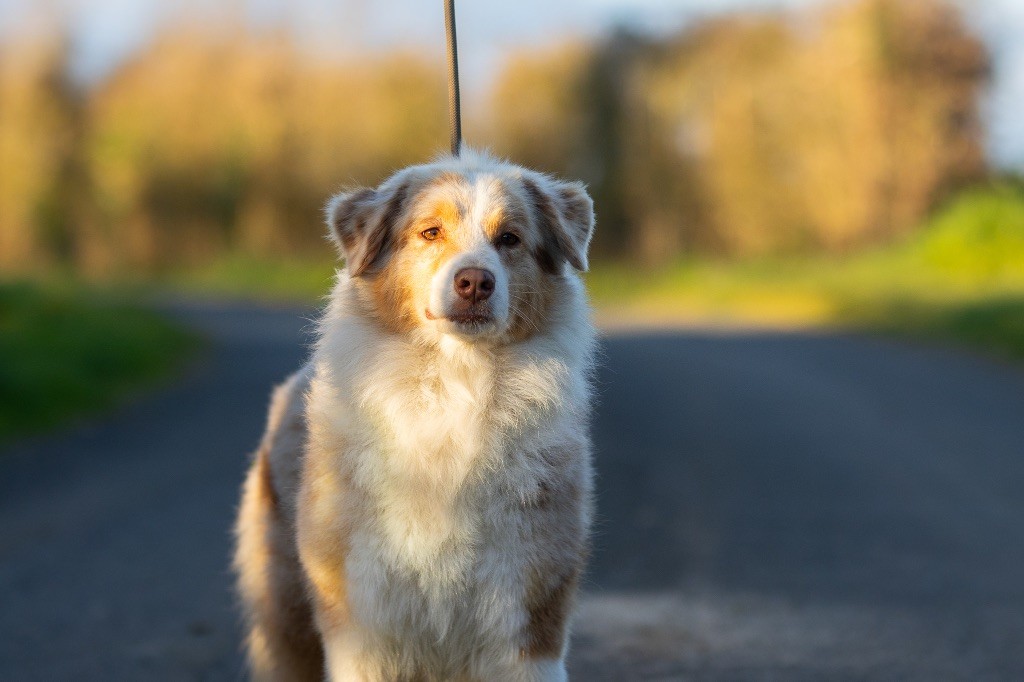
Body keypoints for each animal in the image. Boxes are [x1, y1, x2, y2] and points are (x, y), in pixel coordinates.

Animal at [233, 150, 598, 679]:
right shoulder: (364, 626)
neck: (455, 385)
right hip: (286, 611)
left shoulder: (529, 619)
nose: (474, 281)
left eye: (509, 238)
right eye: (430, 232)